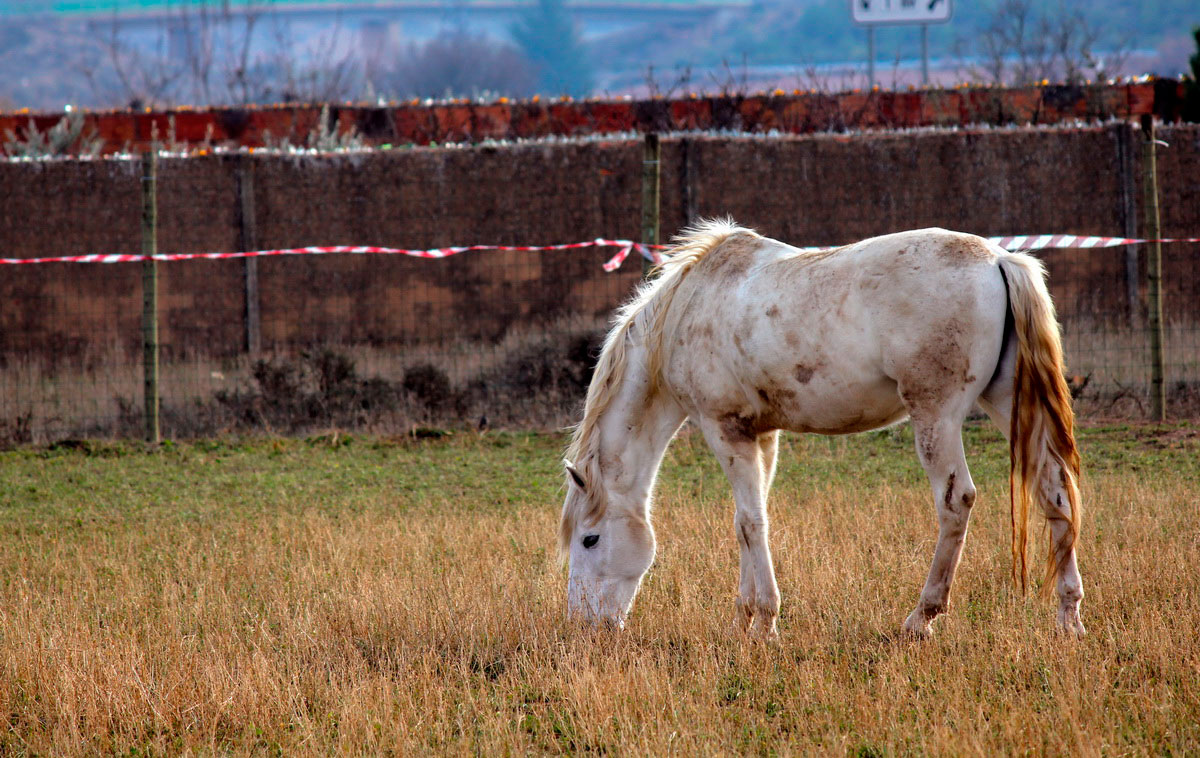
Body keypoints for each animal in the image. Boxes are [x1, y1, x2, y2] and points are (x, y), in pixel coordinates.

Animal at [559, 219, 1084, 640]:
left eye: (590, 540)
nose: (585, 625)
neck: (688, 309)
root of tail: (999, 259)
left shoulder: (724, 430)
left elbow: (750, 522)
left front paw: (765, 622)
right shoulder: (761, 436)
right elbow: (749, 520)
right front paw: (743, 619)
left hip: (937, 417)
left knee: (956, 502)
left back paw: (922, 618)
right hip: (1007, 403)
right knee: (1054, 490)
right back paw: (1069, 617)